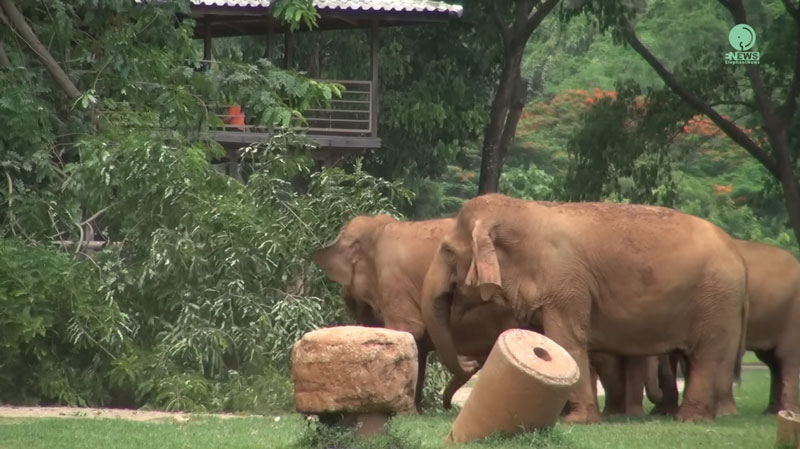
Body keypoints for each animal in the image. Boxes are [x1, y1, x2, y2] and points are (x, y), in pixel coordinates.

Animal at [312, 214, 520, 410]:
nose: (471, 364)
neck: (379, 228)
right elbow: (416, 344)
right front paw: (416, 409)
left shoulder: (394, 282)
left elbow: (409, 331)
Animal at [422, 193, 748, 424]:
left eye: (448, 251)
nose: (468, 363)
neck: (527, 212)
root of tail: (738, 255)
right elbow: (548, 340)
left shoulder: (566, 282)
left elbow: (566, 340)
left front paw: (577, 421)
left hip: (717, 298)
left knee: (706, 354)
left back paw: (689, 418)